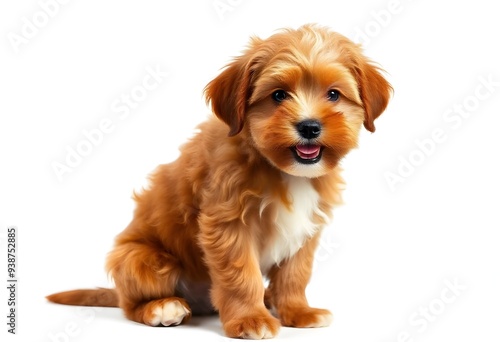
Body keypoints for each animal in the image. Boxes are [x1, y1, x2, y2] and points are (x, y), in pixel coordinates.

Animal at [46, 24, 390, 340]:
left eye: (333, 94)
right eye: (278, 95)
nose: (309, 126)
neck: (283, 170)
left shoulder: (306, 231)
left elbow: (295, 274)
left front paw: (297, 311)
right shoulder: (228, 224)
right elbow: (241, 275)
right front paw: (251, 319)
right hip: (143, 261)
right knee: (129, 305)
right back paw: (162, 307)